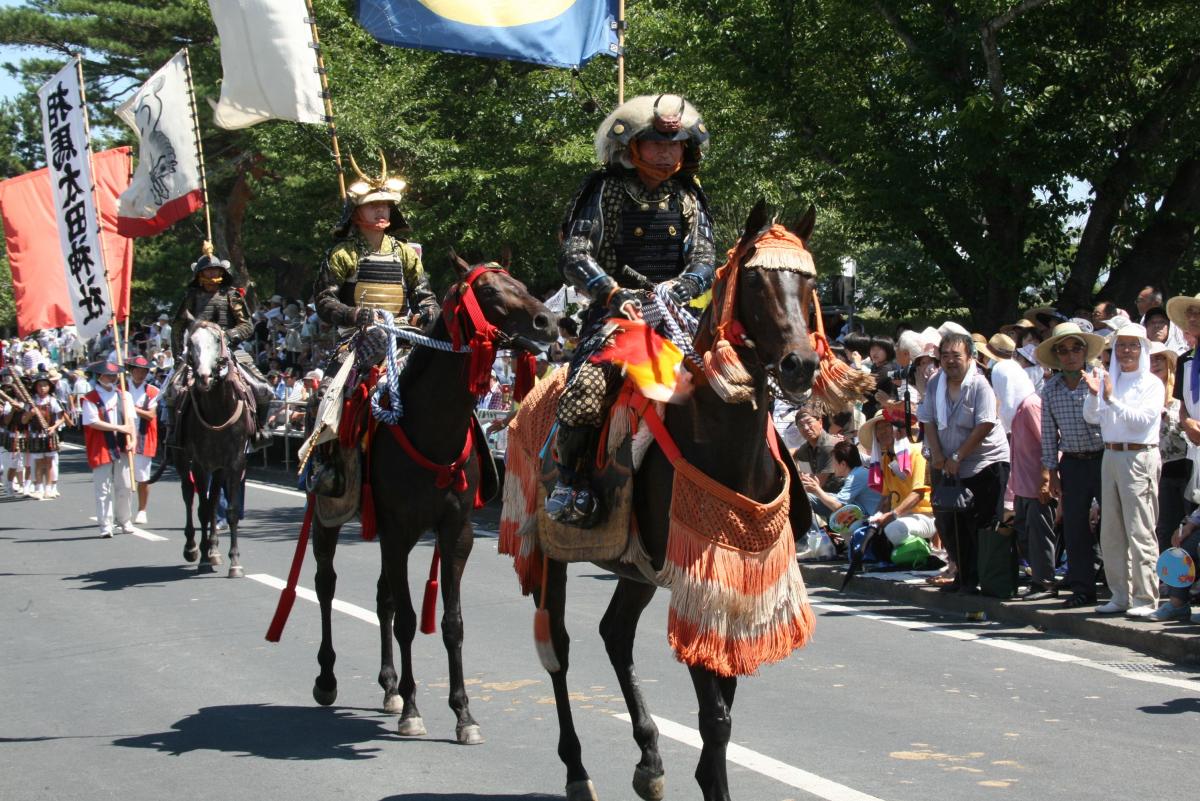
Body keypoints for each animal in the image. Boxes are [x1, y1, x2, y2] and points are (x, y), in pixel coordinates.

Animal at [307, 256, 554, 743]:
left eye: (520, 283)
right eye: (490, 292)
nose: (549, 321)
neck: (432, 425)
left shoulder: (454, 531)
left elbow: (451, 624)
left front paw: (463, 714)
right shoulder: (397, 529)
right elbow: (406, 620)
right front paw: (413, 711)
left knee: (382, 597)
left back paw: (388, 686)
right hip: (330, 514)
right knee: (326, 585)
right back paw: (327, 678)